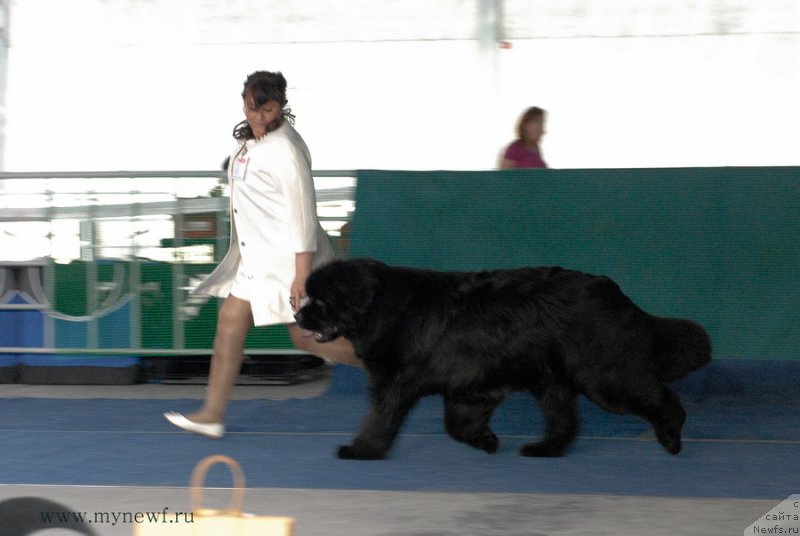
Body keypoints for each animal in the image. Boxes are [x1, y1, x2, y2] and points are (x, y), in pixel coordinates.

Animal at [296, 258, 712, 458]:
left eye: (320, 300)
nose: (298, 316)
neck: (380, 305)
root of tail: (611, 290)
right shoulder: (469, 386)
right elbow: (457, 424)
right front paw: (486, 440)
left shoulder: (394, 383)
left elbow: (380, 420)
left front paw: (361, 451)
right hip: (552, 380)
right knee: (565, 421)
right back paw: (545, 449)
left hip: (602, 374)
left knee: (656, 397)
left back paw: (672, 436)